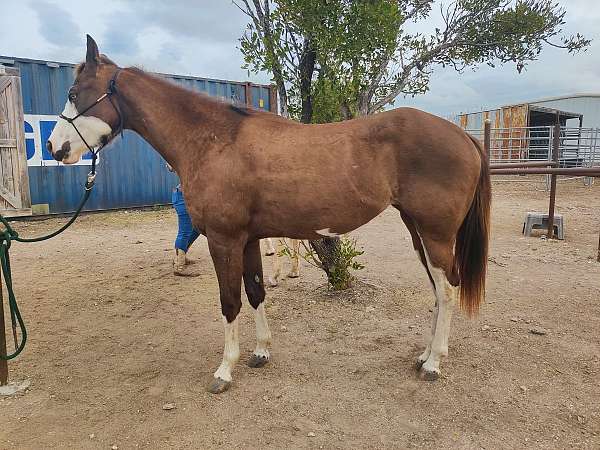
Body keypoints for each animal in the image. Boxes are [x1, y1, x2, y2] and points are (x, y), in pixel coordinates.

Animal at [48, 36, 492, 394]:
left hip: (435, 234)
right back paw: (424, 354)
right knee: (438, 291)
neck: (215, 141)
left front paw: (225, 370)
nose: (54, 147)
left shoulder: (223, 240)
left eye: (74, 91)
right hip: (418, 231)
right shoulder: (247, 240)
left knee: (447, 291)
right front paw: (261, 352)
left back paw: (433, 363)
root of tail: (462, 135)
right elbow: (256, 291)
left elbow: (230, 301)